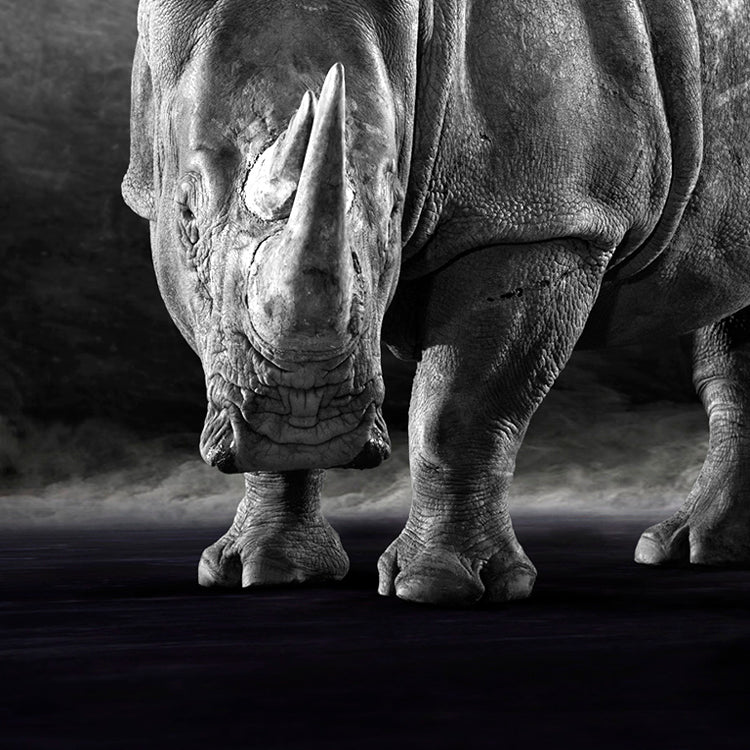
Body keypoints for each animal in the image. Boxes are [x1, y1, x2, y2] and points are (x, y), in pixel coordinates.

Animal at [123, 0, 750, 605]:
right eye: (187, 216)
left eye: (392, 213)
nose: (307, 423)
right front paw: (266, 569)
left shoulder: (538, 225)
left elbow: (458, 408)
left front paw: (438, 587)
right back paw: (697, 549)